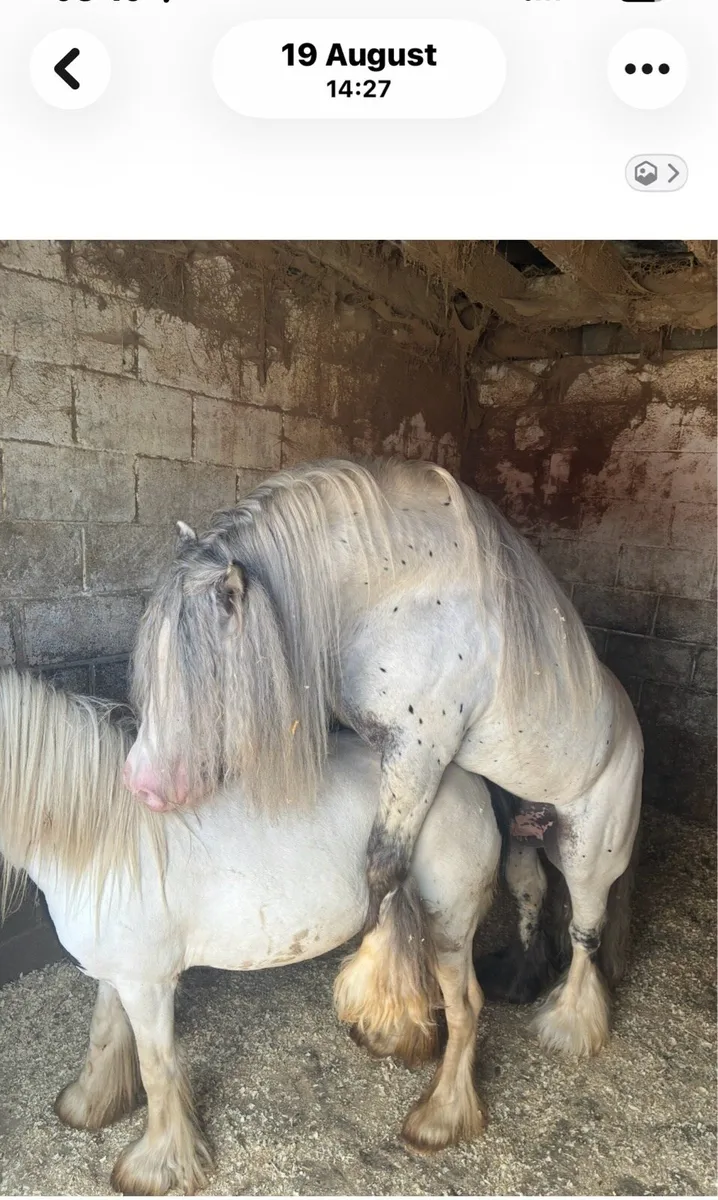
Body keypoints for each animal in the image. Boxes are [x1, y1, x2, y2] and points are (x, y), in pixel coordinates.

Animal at [0, 669, 500, 1196]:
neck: (104, 842)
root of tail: (467, 779)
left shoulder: (148, 985)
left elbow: (156, 1069)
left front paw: (156, 1166)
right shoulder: (119, 975)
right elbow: (102, 1034)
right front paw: (89, 1104)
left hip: (449, 924)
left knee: (466, 1009)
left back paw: (439, 1119)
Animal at [125, 456, 644, 1062]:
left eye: (200, 671)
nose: (140, 785)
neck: (402, 598)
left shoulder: (418, 753)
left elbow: (382, 868)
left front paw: (384, 1012)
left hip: (588, 854)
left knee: (587, 930)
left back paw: (570, 1023)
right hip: (526, 831)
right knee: (531, 891)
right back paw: (521, 979)